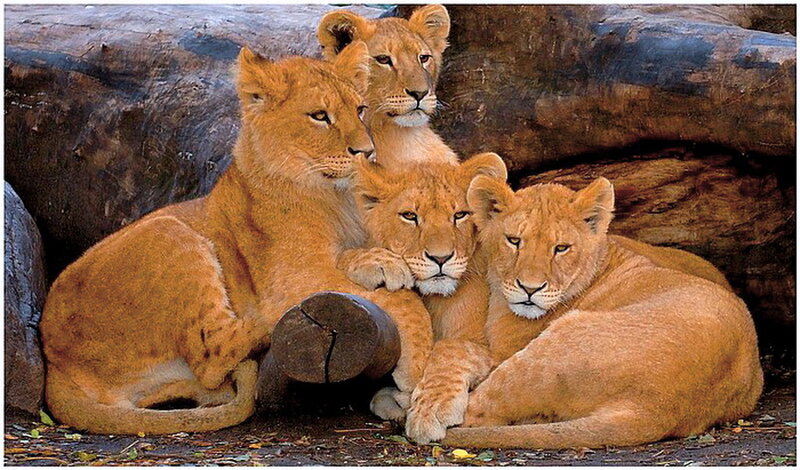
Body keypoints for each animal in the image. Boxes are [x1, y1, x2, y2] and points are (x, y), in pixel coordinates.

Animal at [39, 42, 434, 435]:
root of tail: (54, 364)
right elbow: (405, 302)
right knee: (214, 351)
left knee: (212, 382)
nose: (367, 152)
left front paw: (377, 261)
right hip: (168, 231)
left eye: (360, 109)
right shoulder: (293, 275)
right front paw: (416, 372)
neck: (336, 198)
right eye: (320, 116)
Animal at [427, 176, 764, 449]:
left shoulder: (503, 350)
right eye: (514, 241)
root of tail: (657, 409)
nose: (530, 289)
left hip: (557, 343)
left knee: (478, 412)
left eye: (561, 248)